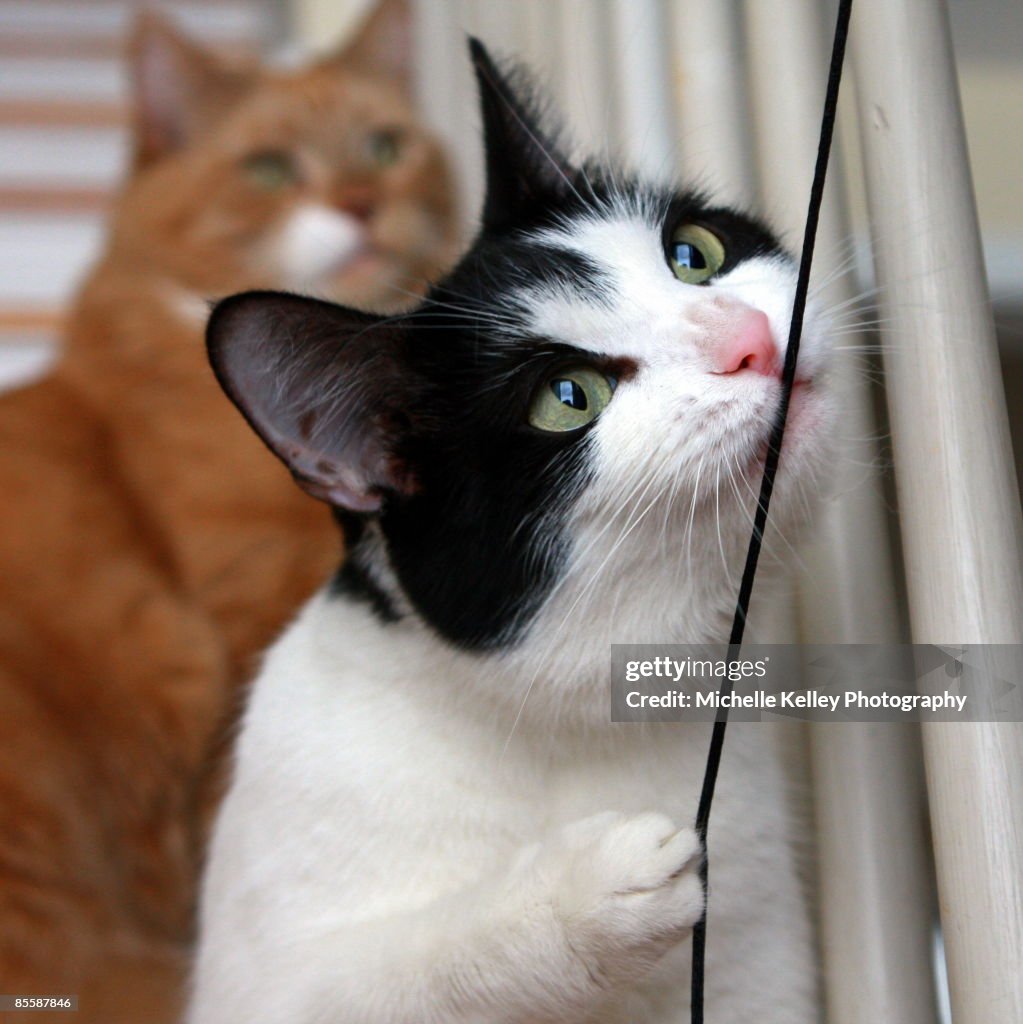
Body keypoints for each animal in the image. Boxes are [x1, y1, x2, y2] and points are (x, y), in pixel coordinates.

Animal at [188, 39, 835, 1024]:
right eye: (568, 397)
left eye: (693, 252)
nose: (750, 336)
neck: (571, 731)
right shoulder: (269, 968)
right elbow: (402, 976)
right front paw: (586, 894)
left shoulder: (756, 966)